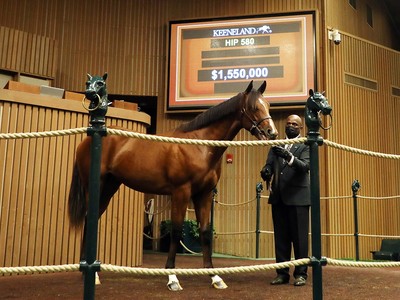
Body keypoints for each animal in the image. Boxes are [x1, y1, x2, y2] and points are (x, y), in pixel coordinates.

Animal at [68, 74, 278, 290]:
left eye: (268, 105)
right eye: (254, 107)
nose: (272, 132)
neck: (199, 145)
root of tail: (88, 138)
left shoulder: (203, 194)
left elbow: (205, 232)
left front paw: (214, 276)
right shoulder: (181, 193)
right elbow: (176, 232)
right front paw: (172, 277)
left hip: (110, 187)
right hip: (96, 186)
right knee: (88, 219)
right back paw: (90, 273)